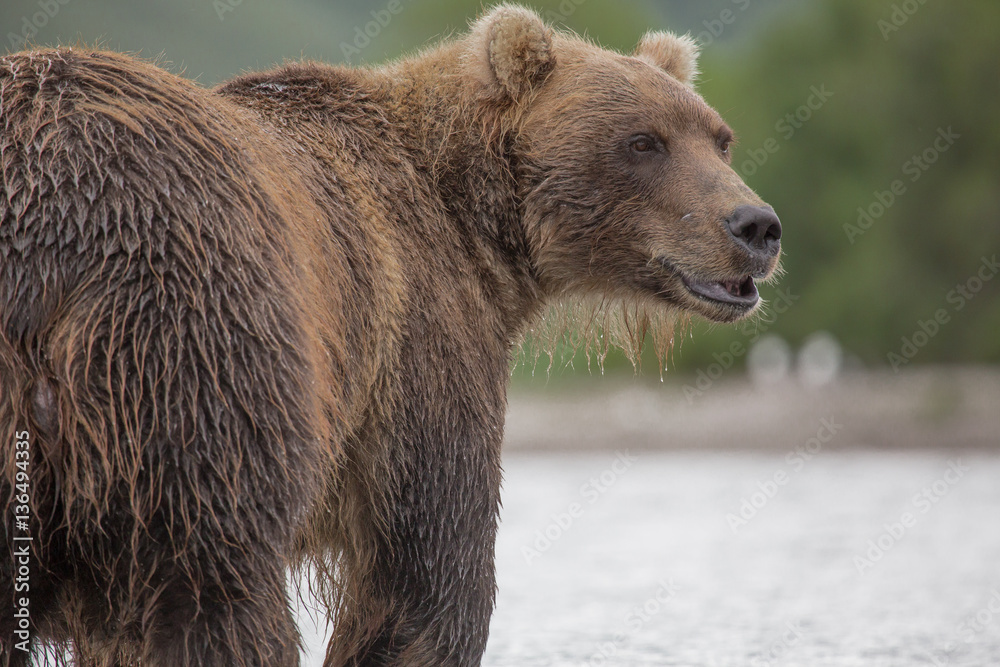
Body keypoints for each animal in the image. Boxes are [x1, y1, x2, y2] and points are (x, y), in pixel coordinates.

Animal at [0, 4, 781, 666]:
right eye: (642, 141)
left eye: (718, 137)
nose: (756, 225)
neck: (480, 226)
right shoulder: (420, 333)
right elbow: (431, 572)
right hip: (191, 346)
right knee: (208, 597)